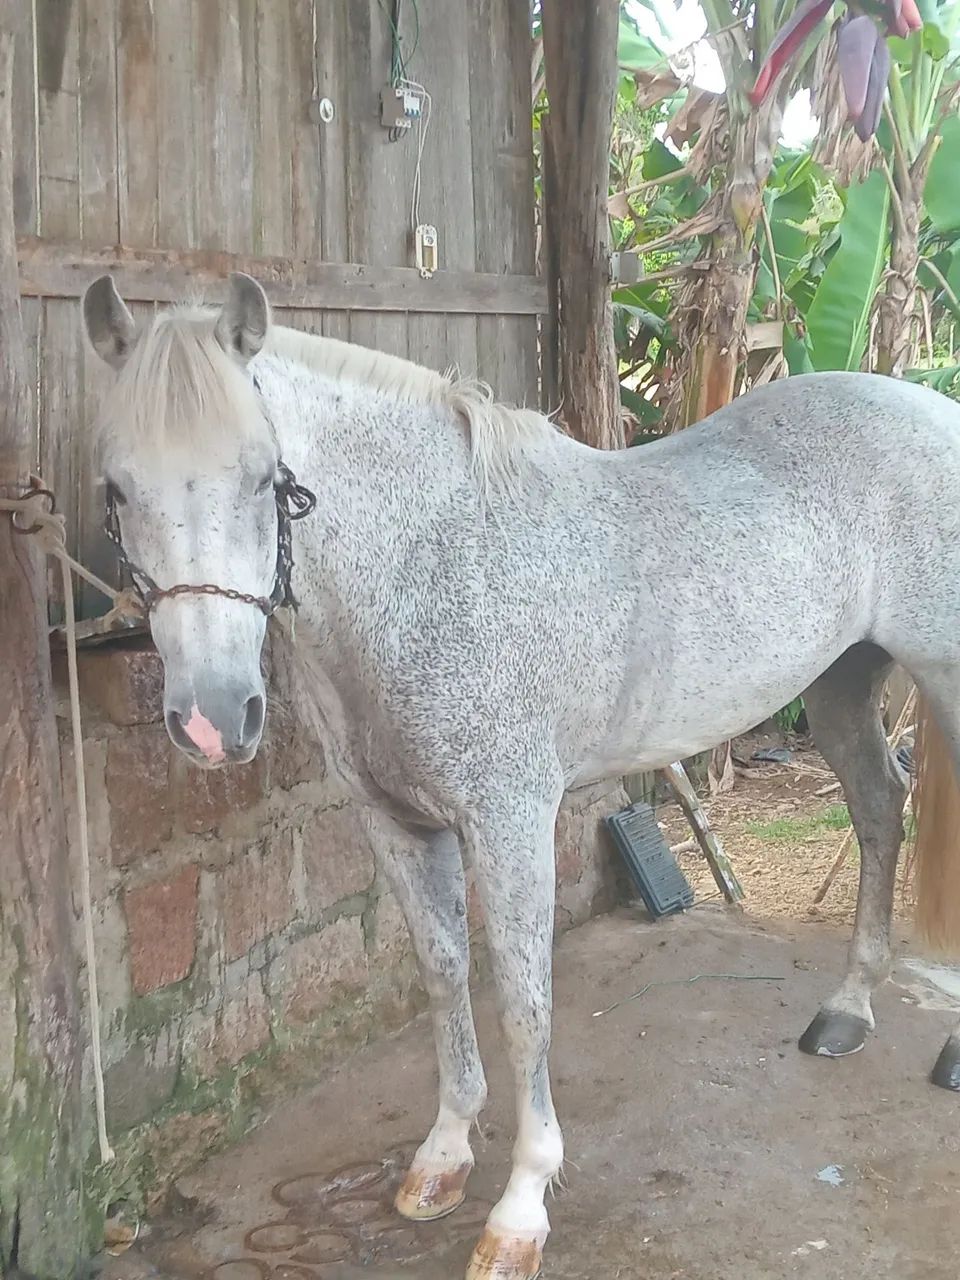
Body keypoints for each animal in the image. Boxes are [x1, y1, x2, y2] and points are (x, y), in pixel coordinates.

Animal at [81, 271, 960, 1280]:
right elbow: (443, 973)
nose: (212, 720)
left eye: (266, 479)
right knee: (880, 811)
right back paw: (845, 1013)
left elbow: (523, 1005)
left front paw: (520, 1209)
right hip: (842, 682)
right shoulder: (396, 824)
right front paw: (442, 1160)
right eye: (118, 487)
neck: (429, 566)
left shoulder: (508, 824)